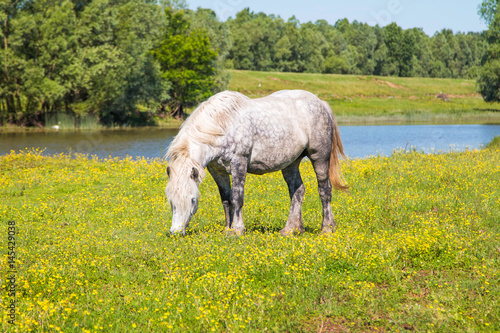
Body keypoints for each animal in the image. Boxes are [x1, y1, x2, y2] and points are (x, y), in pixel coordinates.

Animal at [165, 89, 348, 235]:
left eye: (192, 200)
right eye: (171, 200)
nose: (175, 232)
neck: (222, 125)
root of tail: (321, 103)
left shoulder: (239, 163)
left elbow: (237, 197)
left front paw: (237, 230)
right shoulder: (217, 171)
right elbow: (226, 199)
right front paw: (227, 229)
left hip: (319, 157)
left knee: (324, 190)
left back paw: (327, 228)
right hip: (291, 163)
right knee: (297, 190)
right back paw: (291, 229)